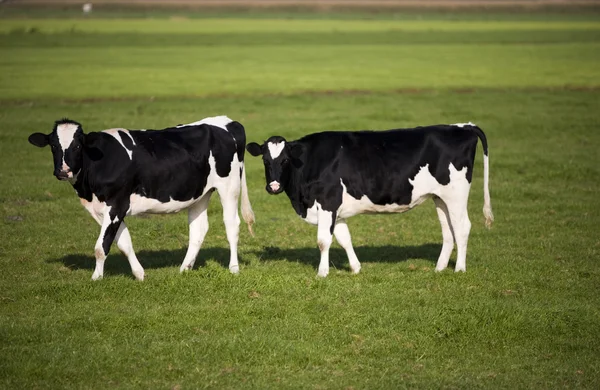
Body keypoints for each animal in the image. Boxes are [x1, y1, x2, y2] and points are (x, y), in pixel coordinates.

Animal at [29, 116, 254, 280]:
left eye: (77, 146)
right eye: (53, 146)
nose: (63, 171)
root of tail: (227, 122)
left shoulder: (116, 205)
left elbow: (101, 246)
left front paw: (96, 278)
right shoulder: (103, 210)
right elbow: (124, 242)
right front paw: (139, 274)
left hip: (229, 186)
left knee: (232, 224)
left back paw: (233, 268)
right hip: (199, 193)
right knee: (198, 229)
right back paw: (184, 268)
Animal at [246, 122, 494, 278]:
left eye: (285, 160)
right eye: (265, 160)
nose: (274, 186)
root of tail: (463, 126)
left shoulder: (327, 202)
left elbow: (323, 241)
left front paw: (322, 273)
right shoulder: (336, 210)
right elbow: (344, 238)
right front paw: (356, 268)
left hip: (456, 194)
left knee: (462, 227)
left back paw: (459, 269)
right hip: (440, 198)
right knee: (448, 230)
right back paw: (440, 268)